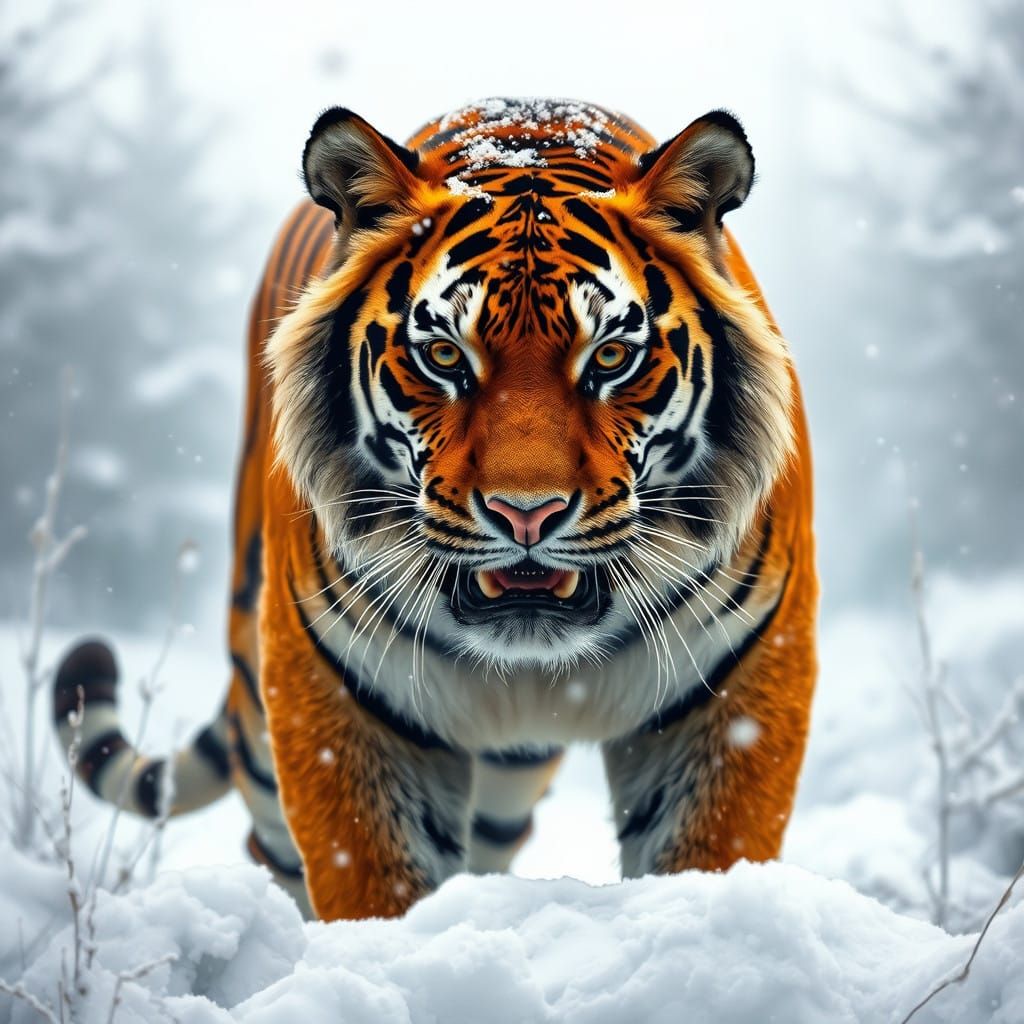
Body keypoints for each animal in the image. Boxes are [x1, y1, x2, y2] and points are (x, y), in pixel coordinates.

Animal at [54, 97, 817, 921]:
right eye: (445, 355)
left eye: (611, 357)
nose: (526, 514)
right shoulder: (340, 693)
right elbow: (368, 875)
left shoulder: (737, 687)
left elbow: (713, 853)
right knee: (270, 838)